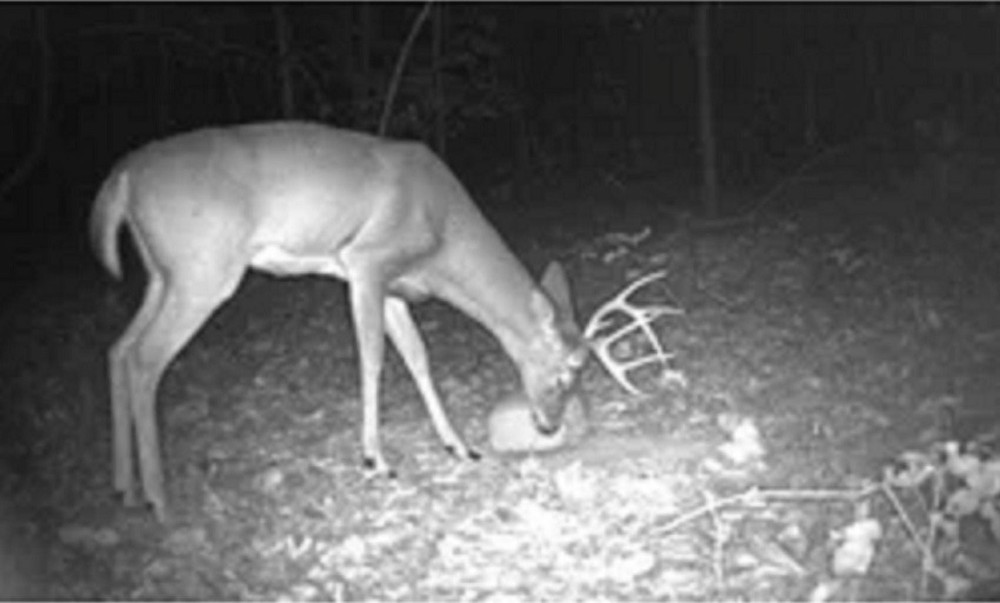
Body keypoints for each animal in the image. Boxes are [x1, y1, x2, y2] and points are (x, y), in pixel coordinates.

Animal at [90, 122, 589, 522]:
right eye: (566, 372)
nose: (550, 426)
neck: (444, 239)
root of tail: (122, 177)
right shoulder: (367, 261)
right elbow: (373, 359)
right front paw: (376, 460)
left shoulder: (393, 288)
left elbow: (419, 357)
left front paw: (459, 446)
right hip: (203, 270)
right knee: (145, 358)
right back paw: (158, 500)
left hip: (163, 275)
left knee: (119, 348)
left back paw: (125, 488)